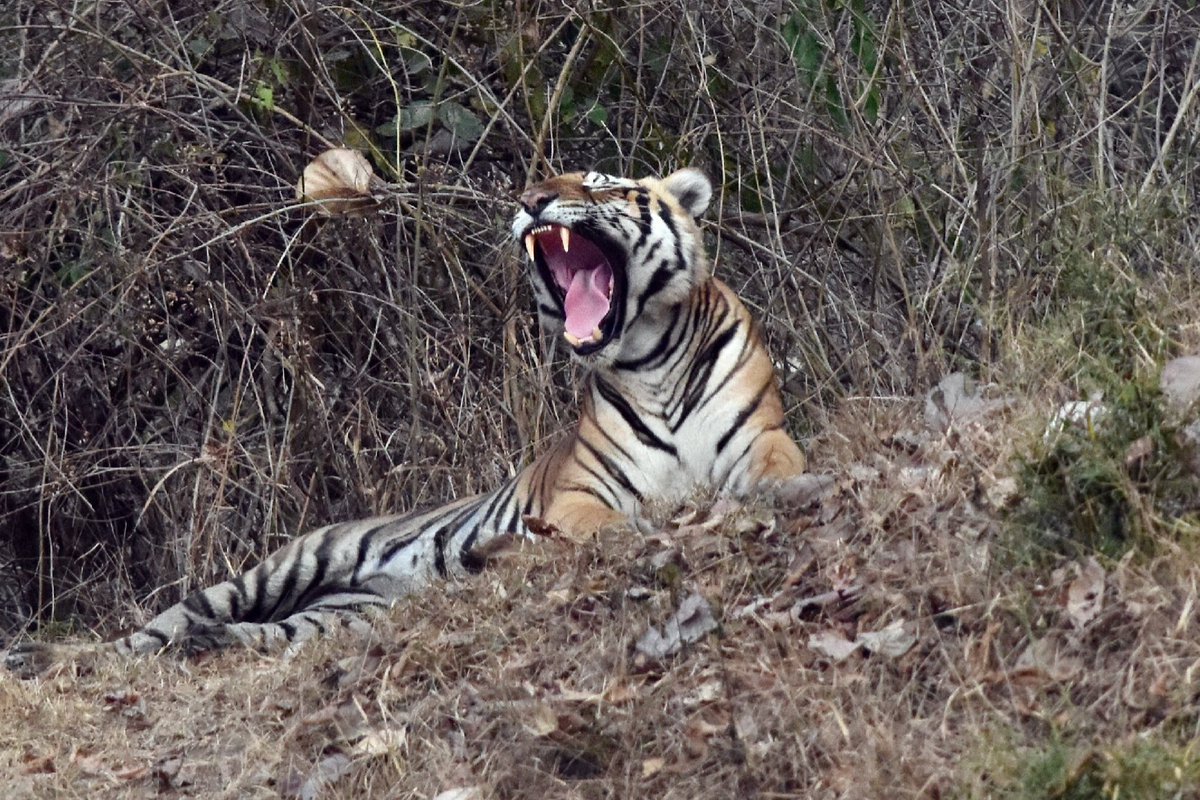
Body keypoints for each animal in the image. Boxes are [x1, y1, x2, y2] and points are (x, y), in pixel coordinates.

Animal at [4, 167, 806, 678]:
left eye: (603, 183)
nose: (532, 198)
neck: (649, 355)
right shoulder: (578, 492)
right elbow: (601, 523)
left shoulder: (761, 433)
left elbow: (777, 466)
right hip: (276, 568)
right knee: (150, 631)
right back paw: (44, 656)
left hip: (341, 614)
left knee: (248, 635)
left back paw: (212, 645)